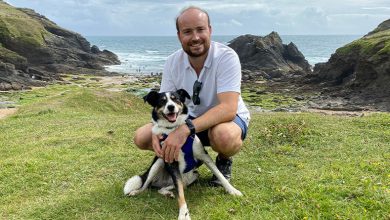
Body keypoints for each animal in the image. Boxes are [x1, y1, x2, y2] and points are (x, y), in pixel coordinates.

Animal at [123, 89, 242, 220]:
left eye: (176, 99)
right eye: (162, 101)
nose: (170, 107)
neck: (173, 129)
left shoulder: (204, 155)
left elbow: (220, 175)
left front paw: (232, 190)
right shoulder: (171, 162)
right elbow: (180, 195)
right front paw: (183, 213)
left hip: (192, 175)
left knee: (169, 187)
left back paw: (167, 193)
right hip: (158, 163)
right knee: (146, 185)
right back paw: (137, 191)